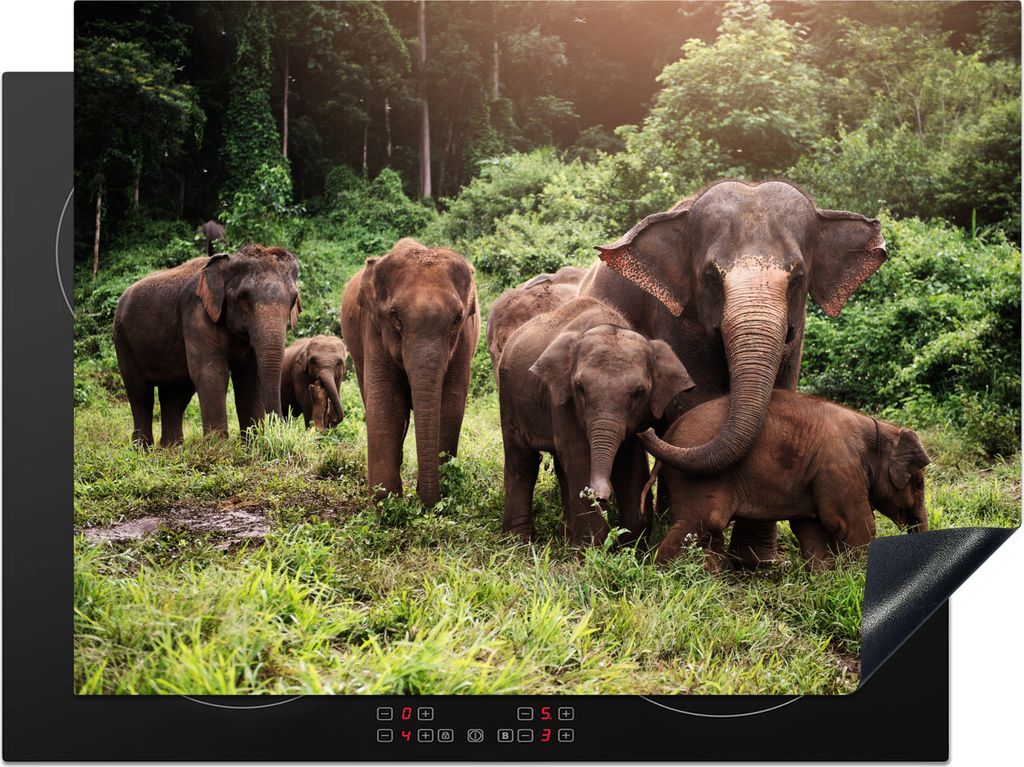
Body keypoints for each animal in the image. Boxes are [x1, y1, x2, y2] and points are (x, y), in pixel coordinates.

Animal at [113, 244, 301, 446]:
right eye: (243, 296)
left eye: (293, 299)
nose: (278, 435)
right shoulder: (197, 314)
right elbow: (211, 373)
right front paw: (219, 448)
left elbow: (250, 377)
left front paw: (253, 445)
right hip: (122, 339)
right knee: (140, 393)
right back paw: (142, 448)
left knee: (175, 394)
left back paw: (170, 448)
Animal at [340, 238, 480, 506]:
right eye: (395, 317)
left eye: (457, 319)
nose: (426, 501)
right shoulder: (374, 330)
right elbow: (386, 405)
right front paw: (386, 502)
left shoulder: (463, 340)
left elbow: (450, 404)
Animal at [497, 296, 694, 546]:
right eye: (580, 388)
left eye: (638, 393)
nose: (600, 495)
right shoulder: (561, 399)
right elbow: (581, 459)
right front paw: (589, 550)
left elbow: (630, 462)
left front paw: (630, 544)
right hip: (509, 395)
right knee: (522, 460)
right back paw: (519, 542)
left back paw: (564, 536)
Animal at [580, 179, 887, 567]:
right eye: (711, 277)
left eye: (798, 277)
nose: (646, 430)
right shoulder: (678, 321)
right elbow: (696, 402)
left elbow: (781, 395)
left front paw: (758, 564)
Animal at [639, 390, 930, 571]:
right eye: (918, 486)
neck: (878, 428)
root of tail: (669, 434)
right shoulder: (839, 468)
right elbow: (856, 527)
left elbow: (811, 529)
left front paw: (825, 579)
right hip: (696, 480)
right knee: (701, 524)